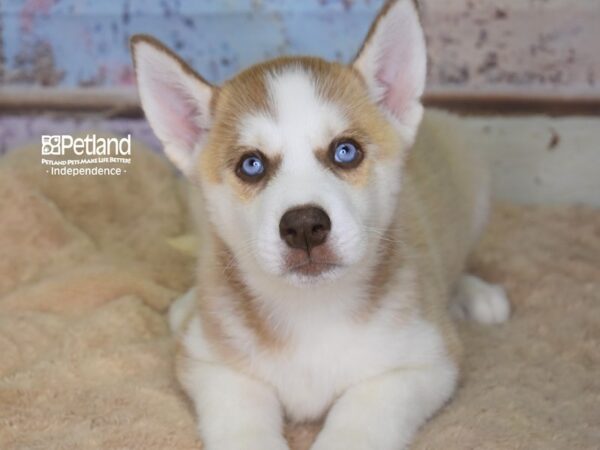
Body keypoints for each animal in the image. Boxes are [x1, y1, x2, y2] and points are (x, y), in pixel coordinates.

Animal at [131, 1, 510, 448]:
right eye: (251, 165)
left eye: (346, 151)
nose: (304, 226)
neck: (311, 314)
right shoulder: (213, 367)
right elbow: (243, 422)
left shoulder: (424, 363)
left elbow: (358, 419)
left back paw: (476, 294)